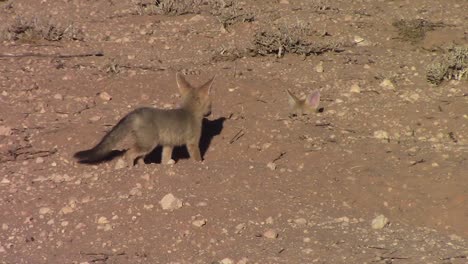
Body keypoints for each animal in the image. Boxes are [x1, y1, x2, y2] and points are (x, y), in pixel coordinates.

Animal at [73, 72, 216, 166]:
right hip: (148, 144)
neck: (189, 112)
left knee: (139, 157)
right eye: (210, 105)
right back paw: (131, 169)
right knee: (129, 153)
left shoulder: (168, 144)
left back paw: (143, 167)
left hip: (145, 144)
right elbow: (196, 156)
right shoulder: (192, 143)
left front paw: (166, 166)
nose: (210, 112)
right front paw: (200, 164)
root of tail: (136, 112)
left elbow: (165, 158)